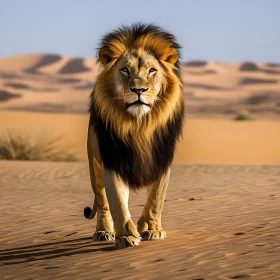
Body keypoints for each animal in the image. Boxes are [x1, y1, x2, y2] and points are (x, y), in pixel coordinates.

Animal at [83, 23, 184, 248]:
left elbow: (156, 199)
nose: (139, 89)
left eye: (152, 70)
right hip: (95, 165)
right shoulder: (112, 159)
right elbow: (117, 201)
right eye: (124, 70)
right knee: (102, 201)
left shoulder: (162, 158)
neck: (139, 125)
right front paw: (126, 237)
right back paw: (104, 231)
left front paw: (152, 229)